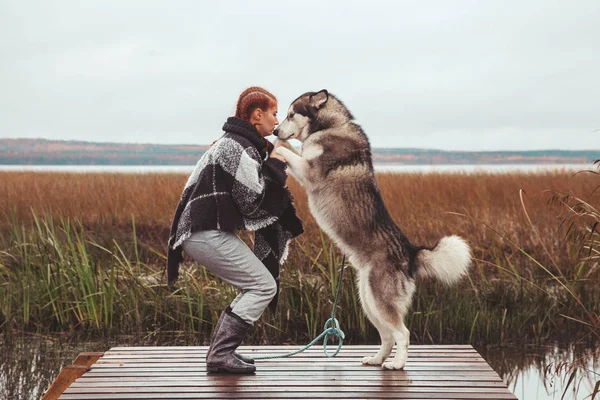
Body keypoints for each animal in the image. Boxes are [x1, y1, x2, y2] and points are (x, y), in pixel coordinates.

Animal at [274, 89, 474, 370]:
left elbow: (291, 152)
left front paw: (273, 144)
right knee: (387, 337)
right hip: (369, 302)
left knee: (403, 334)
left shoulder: (310, 171)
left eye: (291, 114)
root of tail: (410, 252)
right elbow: (293, 149)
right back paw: (377, 359)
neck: (331, 126)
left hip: (380, 302)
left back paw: (396, 364)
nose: (274, 129)